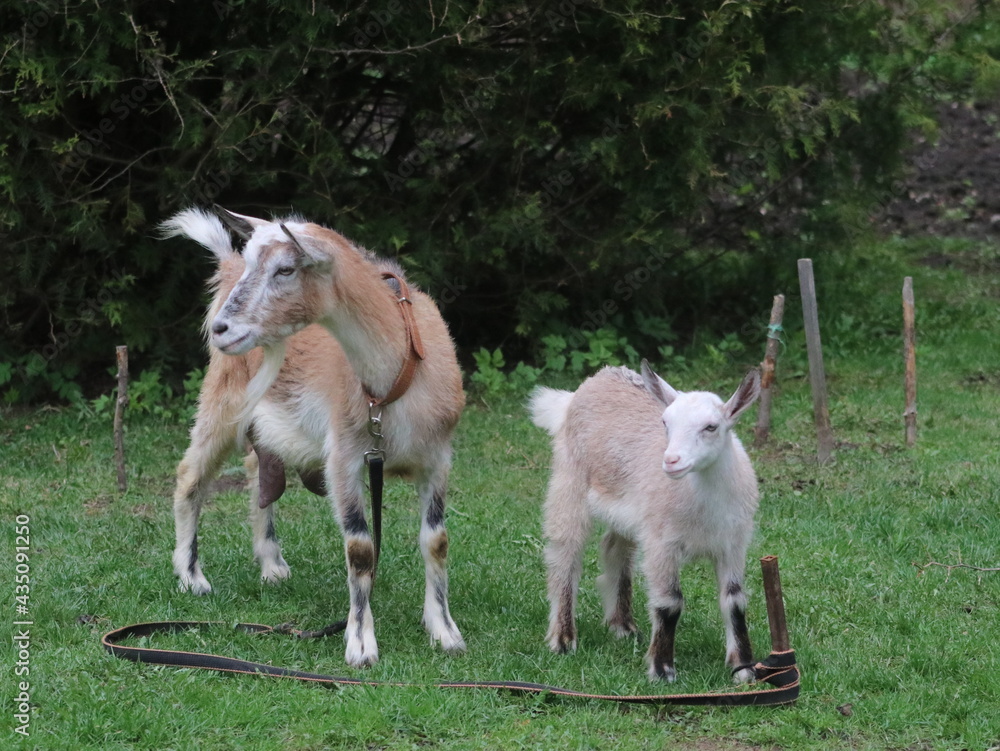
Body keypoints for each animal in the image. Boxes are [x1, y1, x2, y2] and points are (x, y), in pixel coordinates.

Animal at [159, 207, 466, 668]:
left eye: (285, 269)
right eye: (256, 264)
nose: (221, 328)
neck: (397, 378)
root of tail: (225, 267)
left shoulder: (437, 459)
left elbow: (436, 541)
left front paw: (444, 630)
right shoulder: (344, 456)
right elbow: (360, 549)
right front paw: (361, 644)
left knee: (257, 472)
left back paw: (271, 563)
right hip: (223, 397)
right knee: (190, 476)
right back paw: (192, 576)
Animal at [529, 362, 761, 682]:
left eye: (711, 427)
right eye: (665, 422)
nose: (671, 460)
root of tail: (594, 381)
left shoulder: (733, 545)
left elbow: (734, 601)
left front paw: (744, 669)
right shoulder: (661, 542)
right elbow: (669, 603)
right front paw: (662, 669)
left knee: (615, 548)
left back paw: (622, 625)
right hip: (569, 477)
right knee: (565, 551)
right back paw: (563, 639)